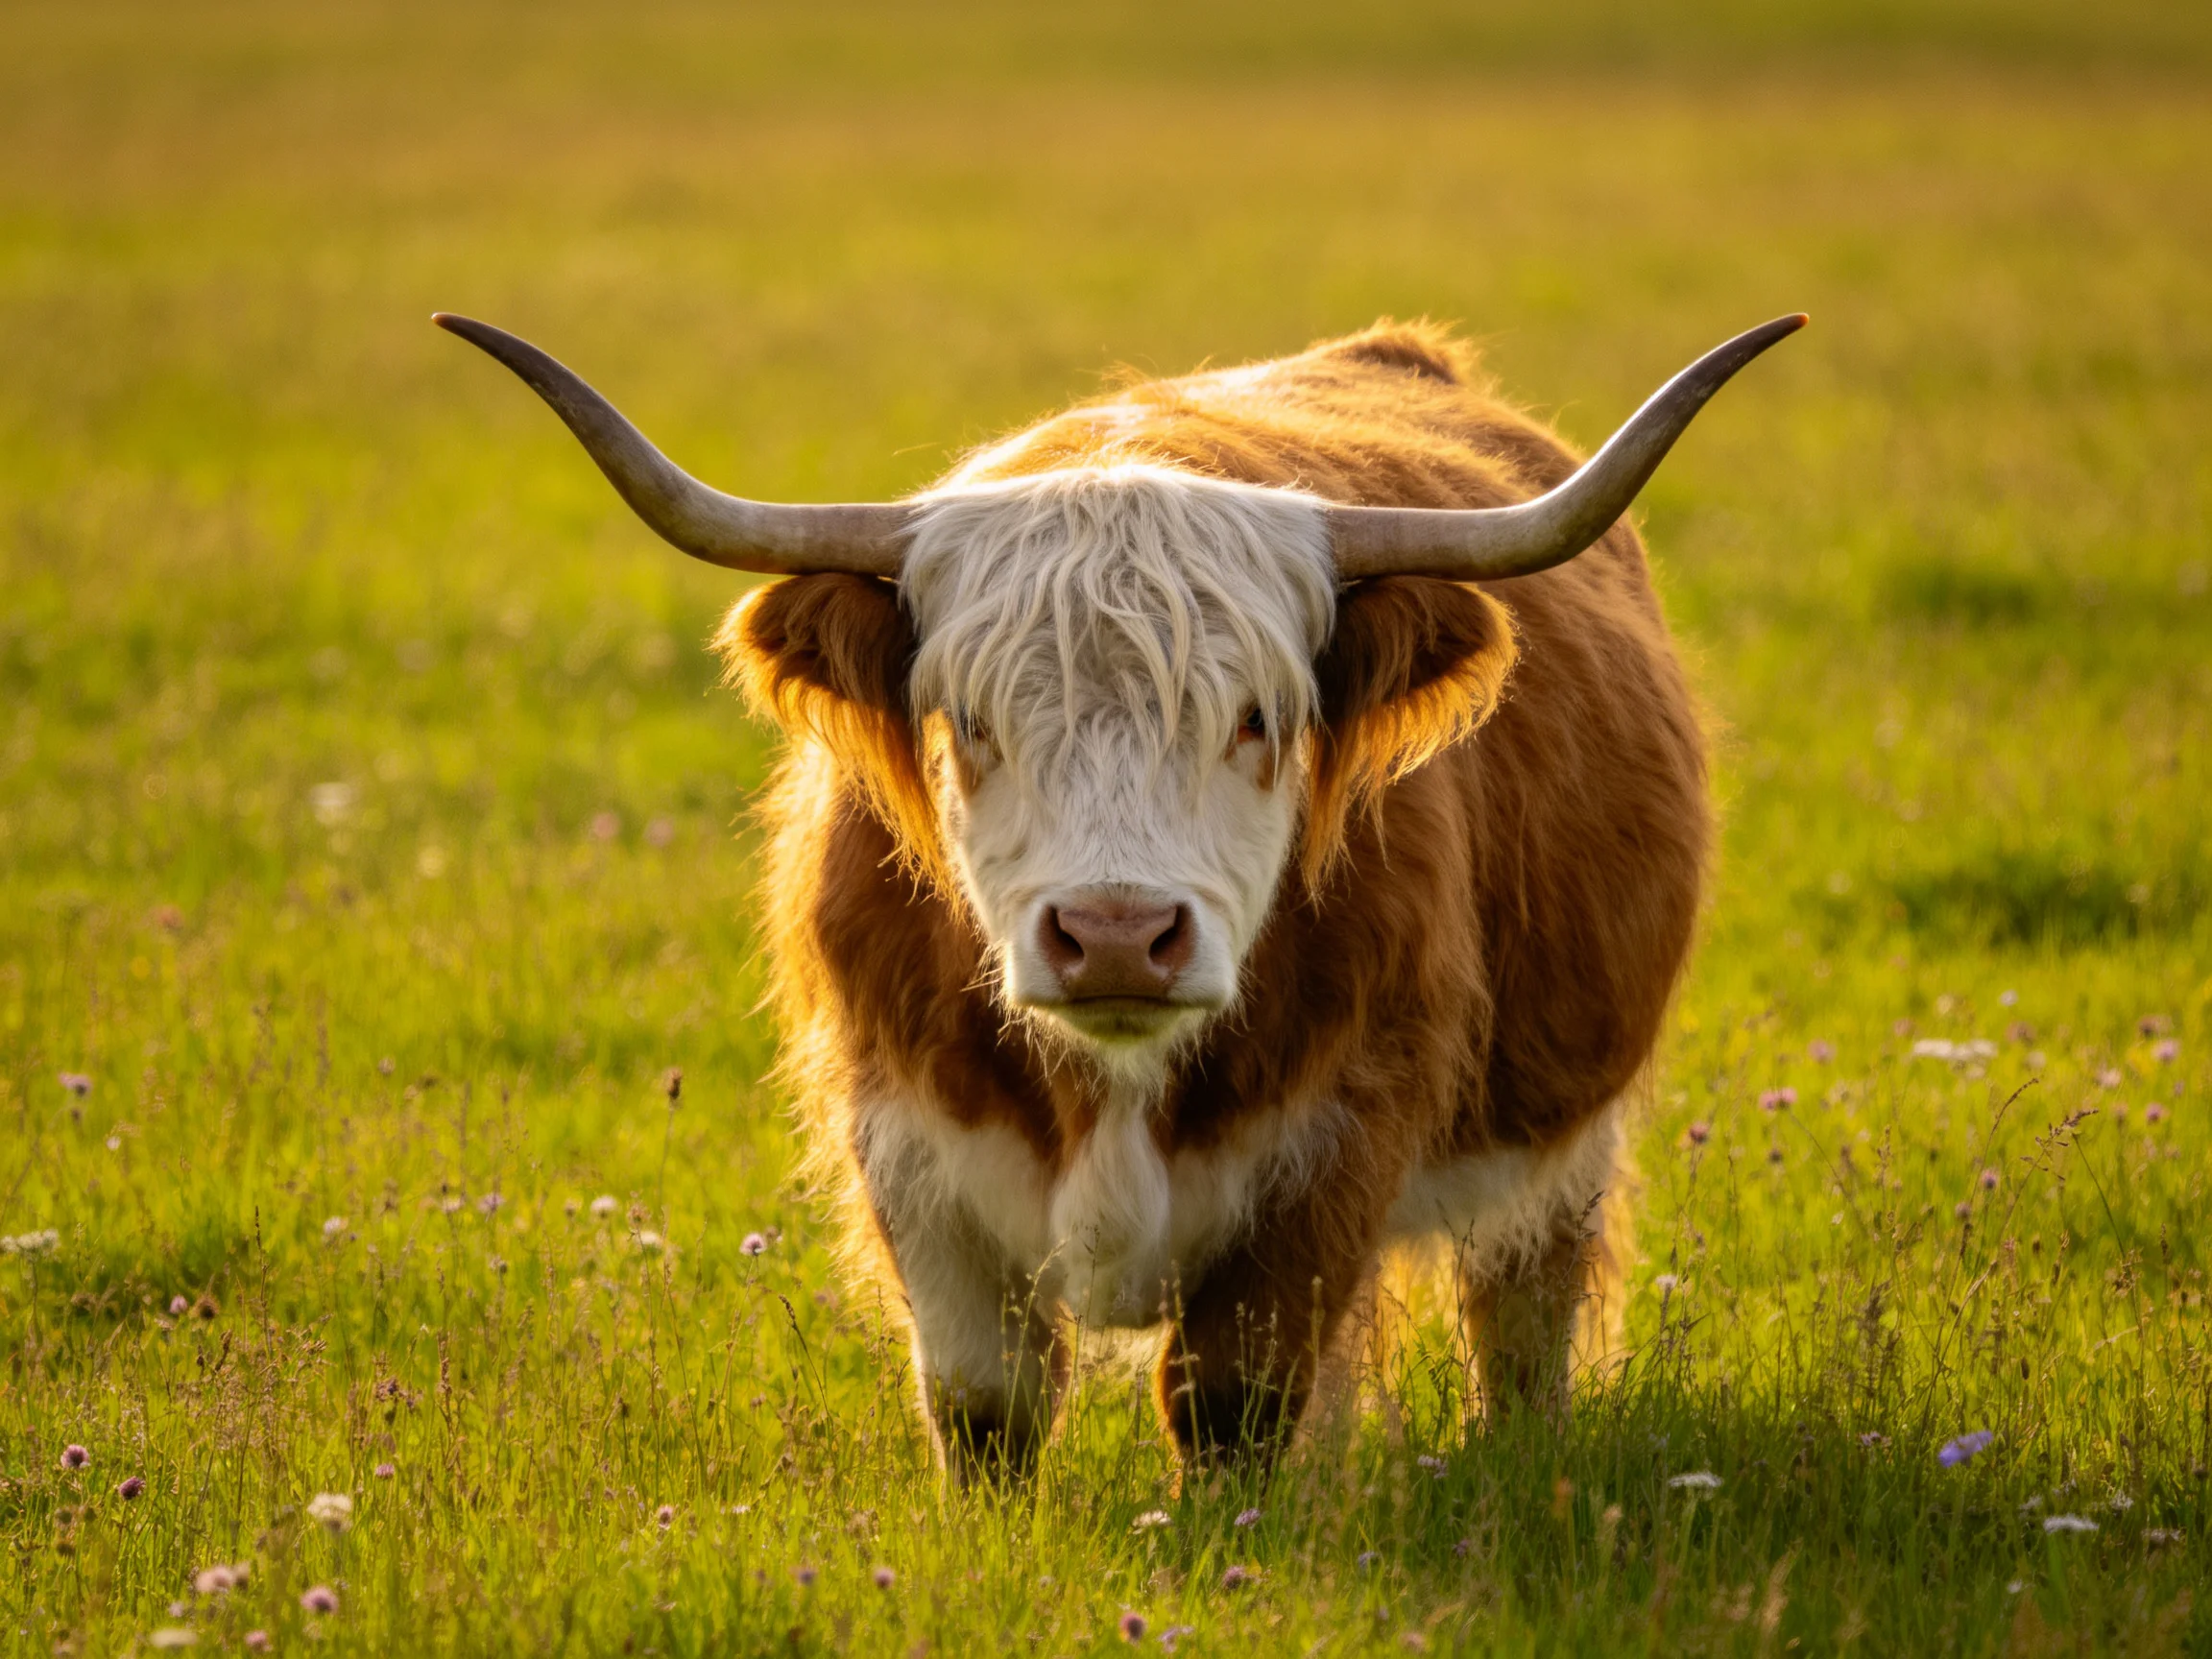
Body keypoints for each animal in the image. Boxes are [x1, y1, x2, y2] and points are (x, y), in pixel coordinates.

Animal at [437, 308, 1801, 1480]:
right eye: (973, 722)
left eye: (1255, 717)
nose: (1114, 937)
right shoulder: (909, 1145)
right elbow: (983, 1405)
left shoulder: (1342, 1139)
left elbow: (1234, 1398)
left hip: (1566, 1137)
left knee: (1519, 1319)